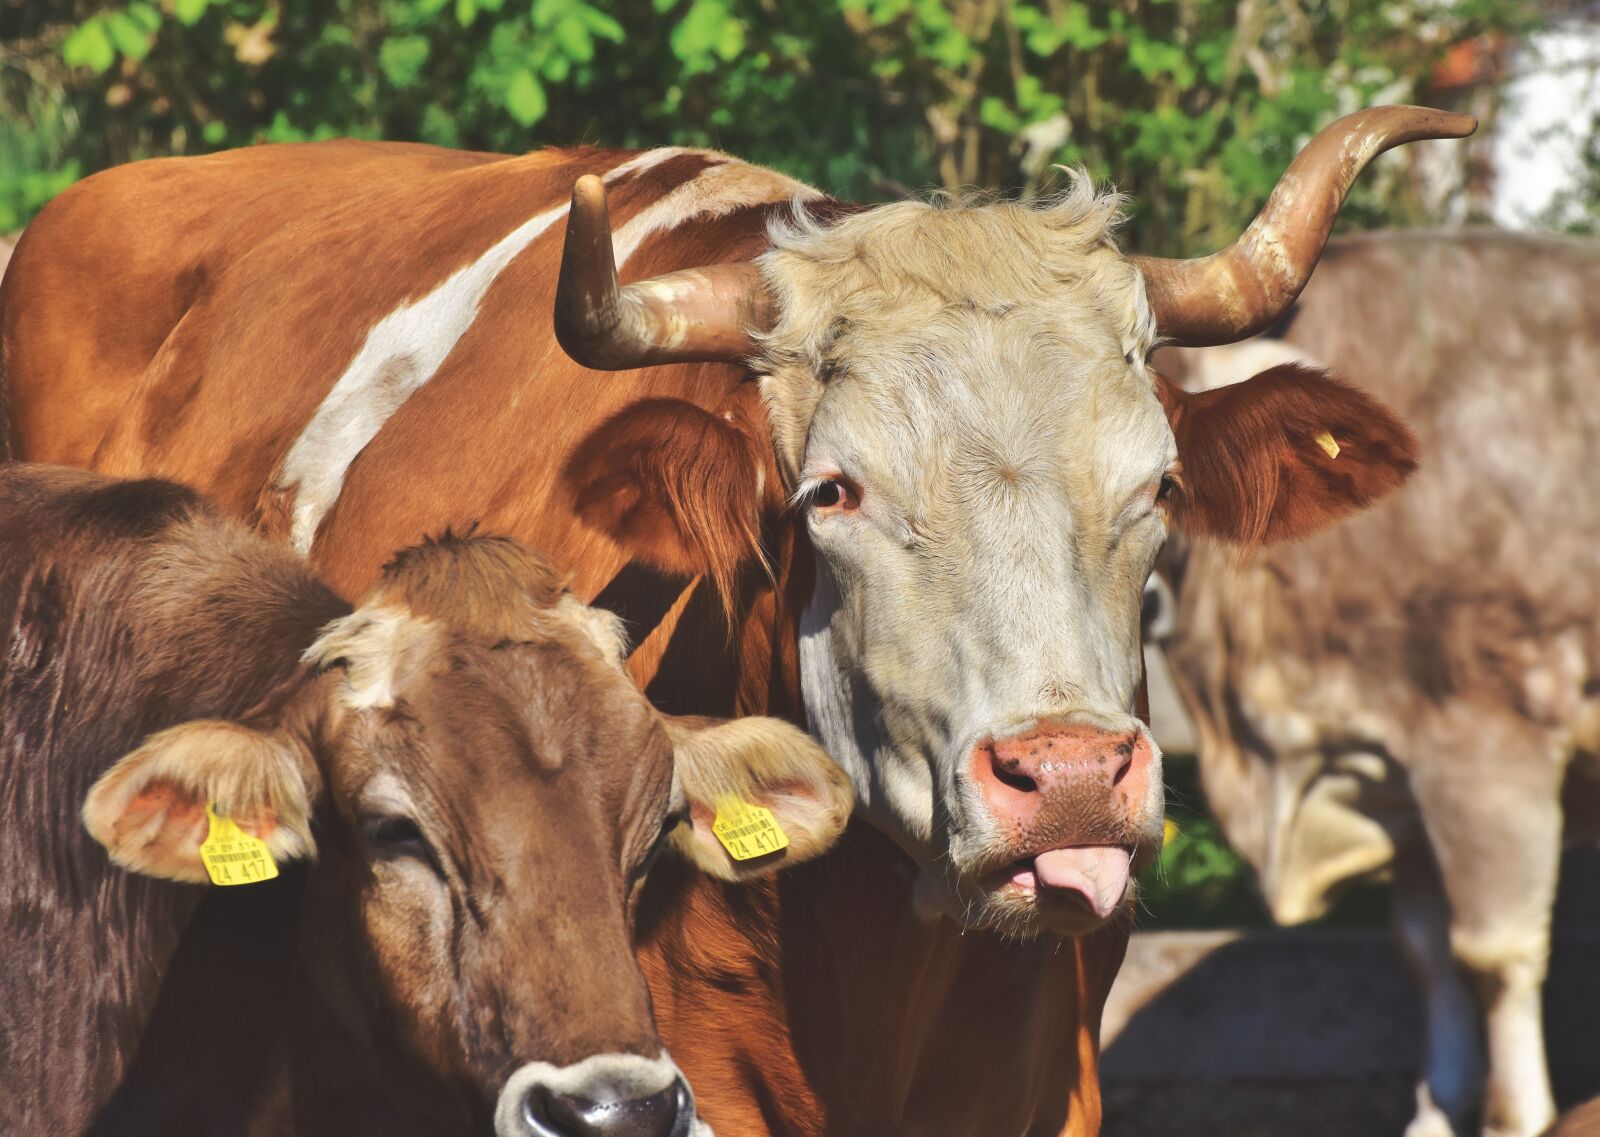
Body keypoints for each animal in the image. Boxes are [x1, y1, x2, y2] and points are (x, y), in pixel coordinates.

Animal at [1147, 230, 1600, 1137]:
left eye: (1165, 472)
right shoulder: (1395, 771)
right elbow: (1423, 951)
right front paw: (1436, 1107)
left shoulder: (1487, 748)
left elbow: (1492, 953)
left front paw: (1513, 1113)